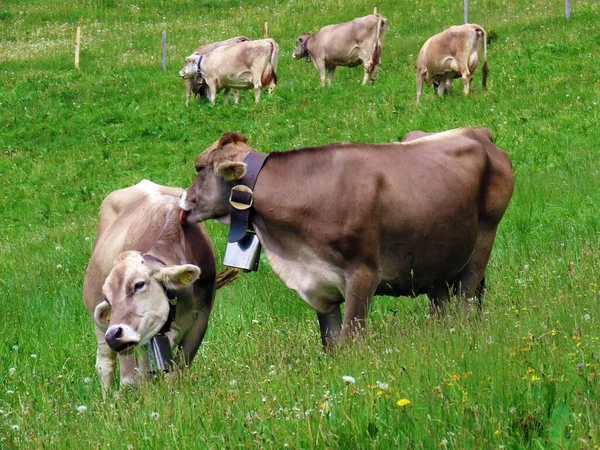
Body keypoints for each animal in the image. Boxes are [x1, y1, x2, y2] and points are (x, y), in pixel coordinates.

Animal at [83, 181, 238, 392]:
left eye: (139, 284)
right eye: (108, 299)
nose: (114, 335)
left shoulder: (201, 319)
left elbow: (178, 370)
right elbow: (133, 378)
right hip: (100, 326)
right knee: (105, 365)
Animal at [178, 128, 516, 350]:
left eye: (198, 167)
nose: (183, 200)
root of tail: (478, 132)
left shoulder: (363, 274)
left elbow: (351, 339)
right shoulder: (319, 285)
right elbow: (332, 344)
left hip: (484, 239)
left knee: (466, 301)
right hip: (437, 262)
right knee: (442, 310)